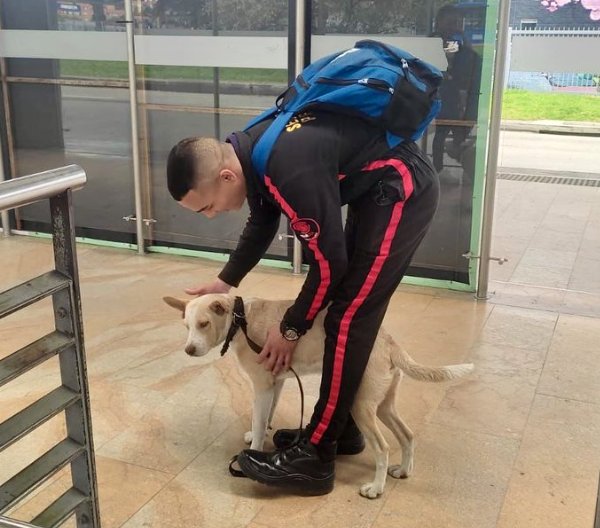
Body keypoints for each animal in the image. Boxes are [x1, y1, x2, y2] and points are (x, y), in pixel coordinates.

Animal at [164, 292, 474, 500]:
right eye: (187, 327)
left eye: (204, 324)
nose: (189, 350)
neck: (241, 321)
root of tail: (389, 341)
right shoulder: (275, 383)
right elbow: (266, 415)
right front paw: (259, 434)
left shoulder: (262, 386)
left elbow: (258, 419)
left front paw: (254, 446)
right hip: (383, 404)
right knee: (407, 435)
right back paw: (404, 471)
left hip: (361, 405)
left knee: (383, 448)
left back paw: (376, 488)